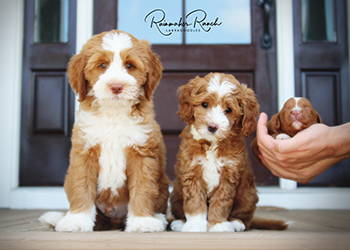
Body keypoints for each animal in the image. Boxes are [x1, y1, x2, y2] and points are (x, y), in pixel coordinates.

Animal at [39, 30, 170, 233]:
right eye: (102, 65)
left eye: (129, 65)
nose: (116, 86)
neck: (114, 113)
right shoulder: (85, 151)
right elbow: (81, 186)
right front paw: (77, 220)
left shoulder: (142, 153)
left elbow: (143, 187)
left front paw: (142, 221)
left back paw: (158, 218)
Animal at [170, 73, 288, 232]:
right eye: (204, 105)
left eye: (228, 110)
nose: (212, 126)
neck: (212, 143)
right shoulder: (192, 171)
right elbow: (195, 201)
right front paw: (195, 225)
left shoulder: (230, 175)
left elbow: (222, 201)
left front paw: (218, 225)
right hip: (176, 193)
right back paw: (180, 223)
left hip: (247, 195)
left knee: (245, 218)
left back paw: (236, 223)